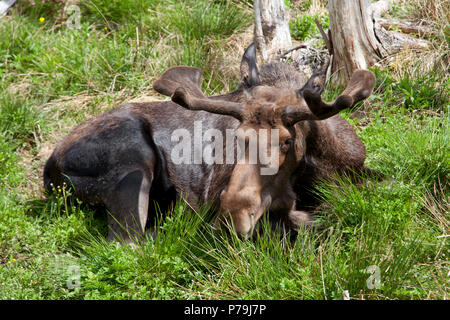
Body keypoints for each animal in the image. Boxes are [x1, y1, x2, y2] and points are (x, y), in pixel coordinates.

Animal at [44, 43, 376, 244]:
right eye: (238, 137)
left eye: (287, 141)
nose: (233, 216)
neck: (324, 162)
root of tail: (48, 169)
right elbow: (306, 218)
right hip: (135, 159)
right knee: (129, 240)